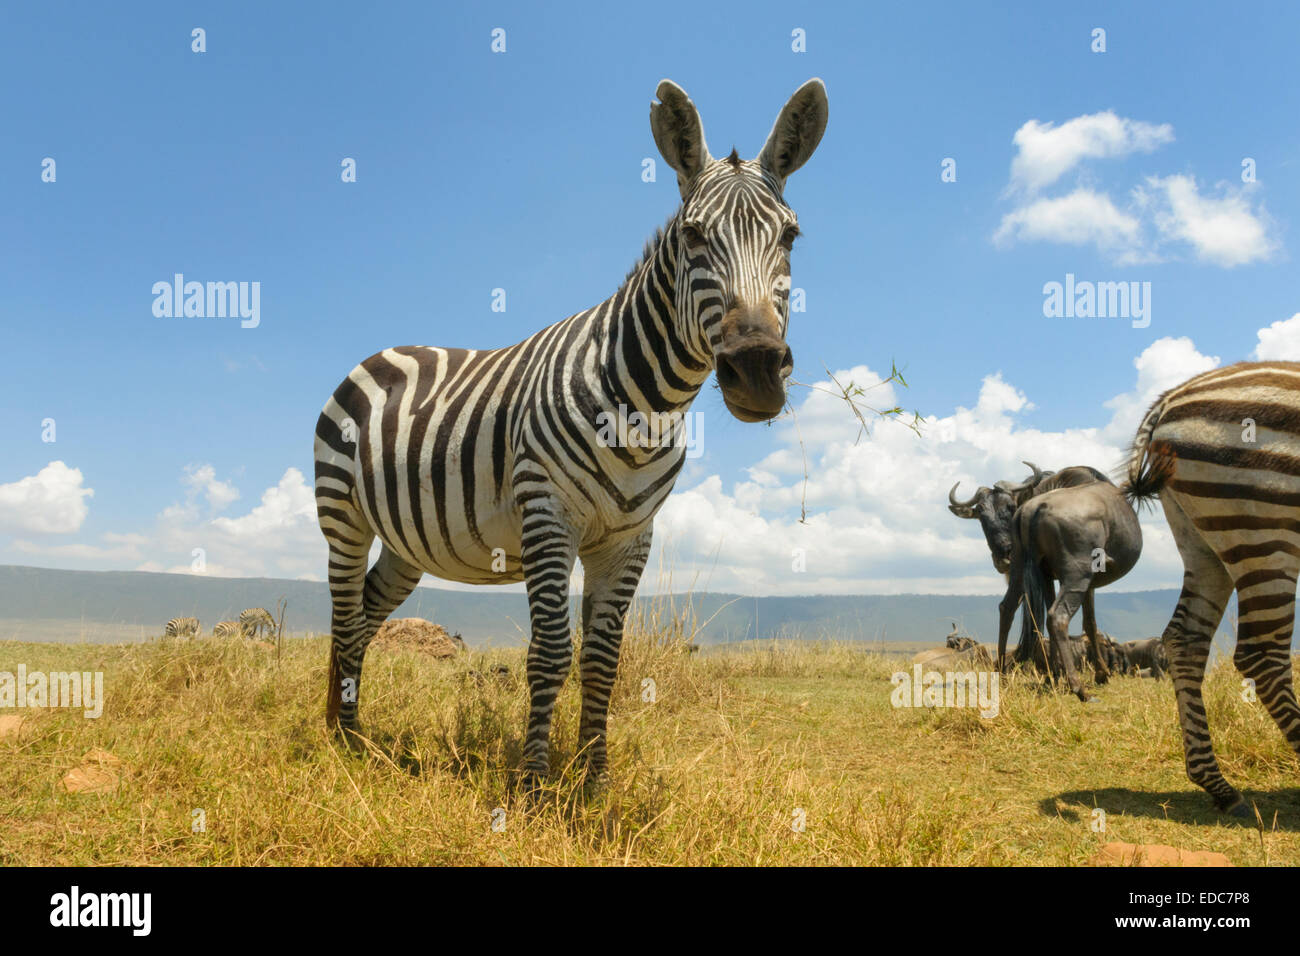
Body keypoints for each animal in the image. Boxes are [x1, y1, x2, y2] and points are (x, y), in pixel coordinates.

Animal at [314, 78, 828, 783]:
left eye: (792, 237)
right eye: (693, 235)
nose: (755, 369)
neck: (643, 407)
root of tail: (383, 351)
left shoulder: (628, 539)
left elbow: (603, 657)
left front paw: (593, 776)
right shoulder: (547, 514)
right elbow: (552, 651)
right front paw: (534, 780)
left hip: (404, 544)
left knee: (363, 615)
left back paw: (350, 730)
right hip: (343, 517)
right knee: (343, 616)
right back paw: (341, 742)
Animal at [1126, 360, 1300, 816]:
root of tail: (1170, 400)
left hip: (1203, 542)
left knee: (1184, 639)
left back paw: (1217, 785)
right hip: (1264, 529)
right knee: (1262, 656)